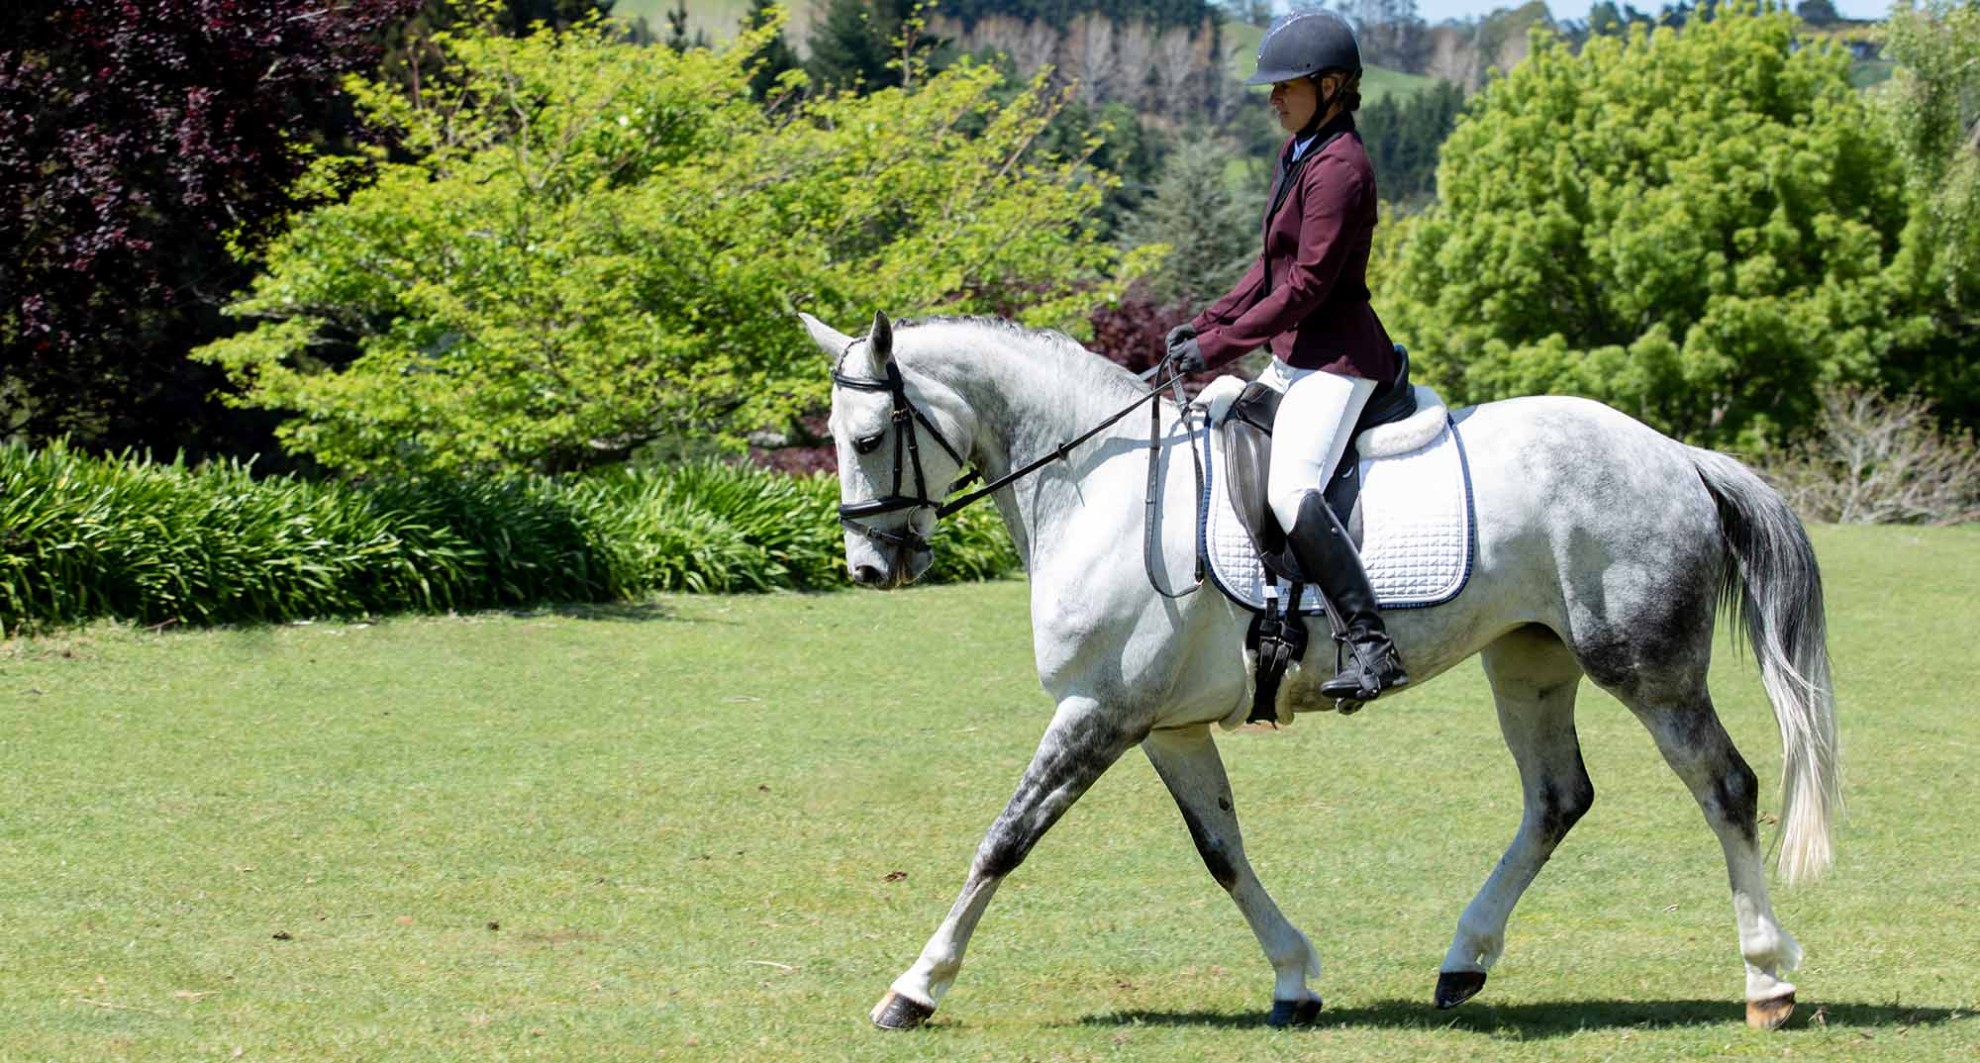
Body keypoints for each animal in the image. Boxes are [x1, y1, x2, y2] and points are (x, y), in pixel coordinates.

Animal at [803, 306, 1837, 1029]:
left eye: (866, 439)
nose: (867, 569)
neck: (1103, 481)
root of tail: (1673, 452)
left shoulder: (1099, 709)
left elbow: (1004, 839)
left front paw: (915, 987)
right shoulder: (1165, 725)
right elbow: (1222, 851)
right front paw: (1295, 979)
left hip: (1647, 667)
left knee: (1726, 785)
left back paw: (1767, 978)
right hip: (1529, 660)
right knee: (1557, 797)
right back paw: (1464, 960)